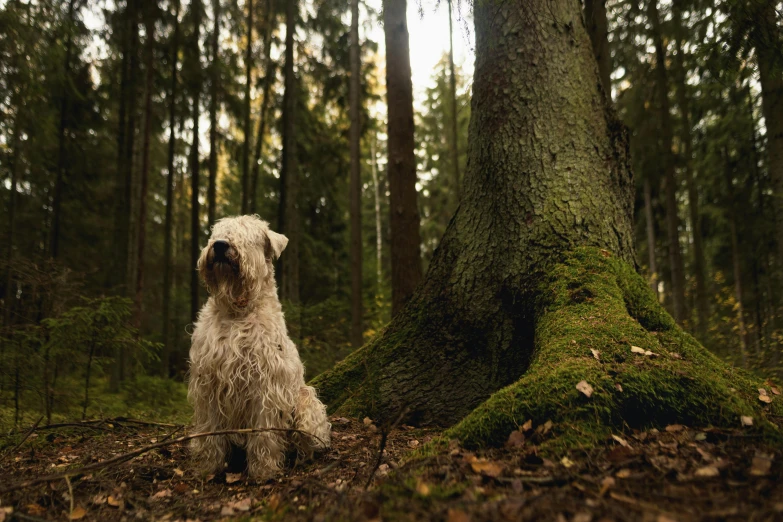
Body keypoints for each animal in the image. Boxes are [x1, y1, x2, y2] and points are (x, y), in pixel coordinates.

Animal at [189, 213, 330, 478]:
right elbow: (210, 427)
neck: (237, 310)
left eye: (250, 236)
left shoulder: (265, 382)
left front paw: (263, 470)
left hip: (306, 401)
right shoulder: (209, 380)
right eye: (216, 232)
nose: (220, 245)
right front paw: (209, 467)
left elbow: (264, 431)